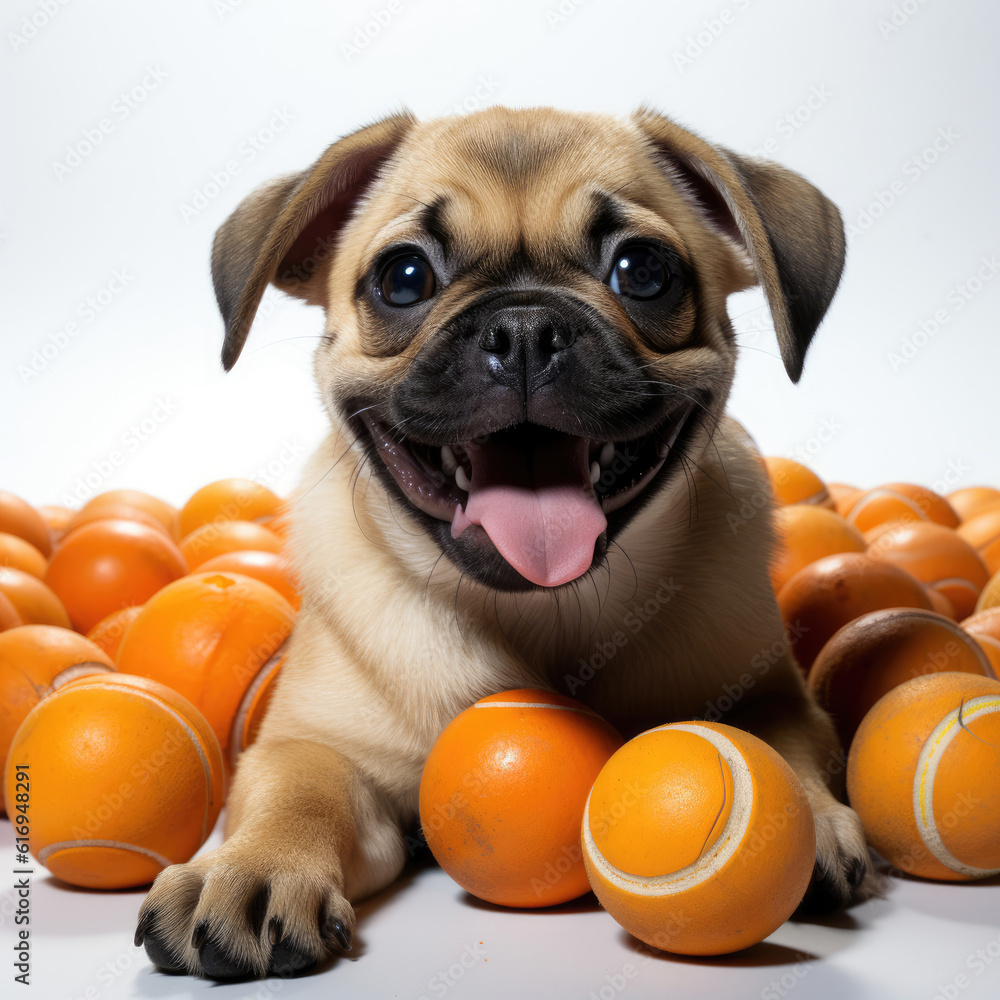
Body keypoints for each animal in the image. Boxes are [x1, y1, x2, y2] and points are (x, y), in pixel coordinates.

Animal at [135, 107, 876, 976]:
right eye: (403, 279)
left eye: (643, 271)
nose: (525, 328)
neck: (547, 615)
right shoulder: (315, 746)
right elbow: (298, 790)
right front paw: (252, 868)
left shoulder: (774, 694)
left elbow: (781, 740)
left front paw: (809, 818)